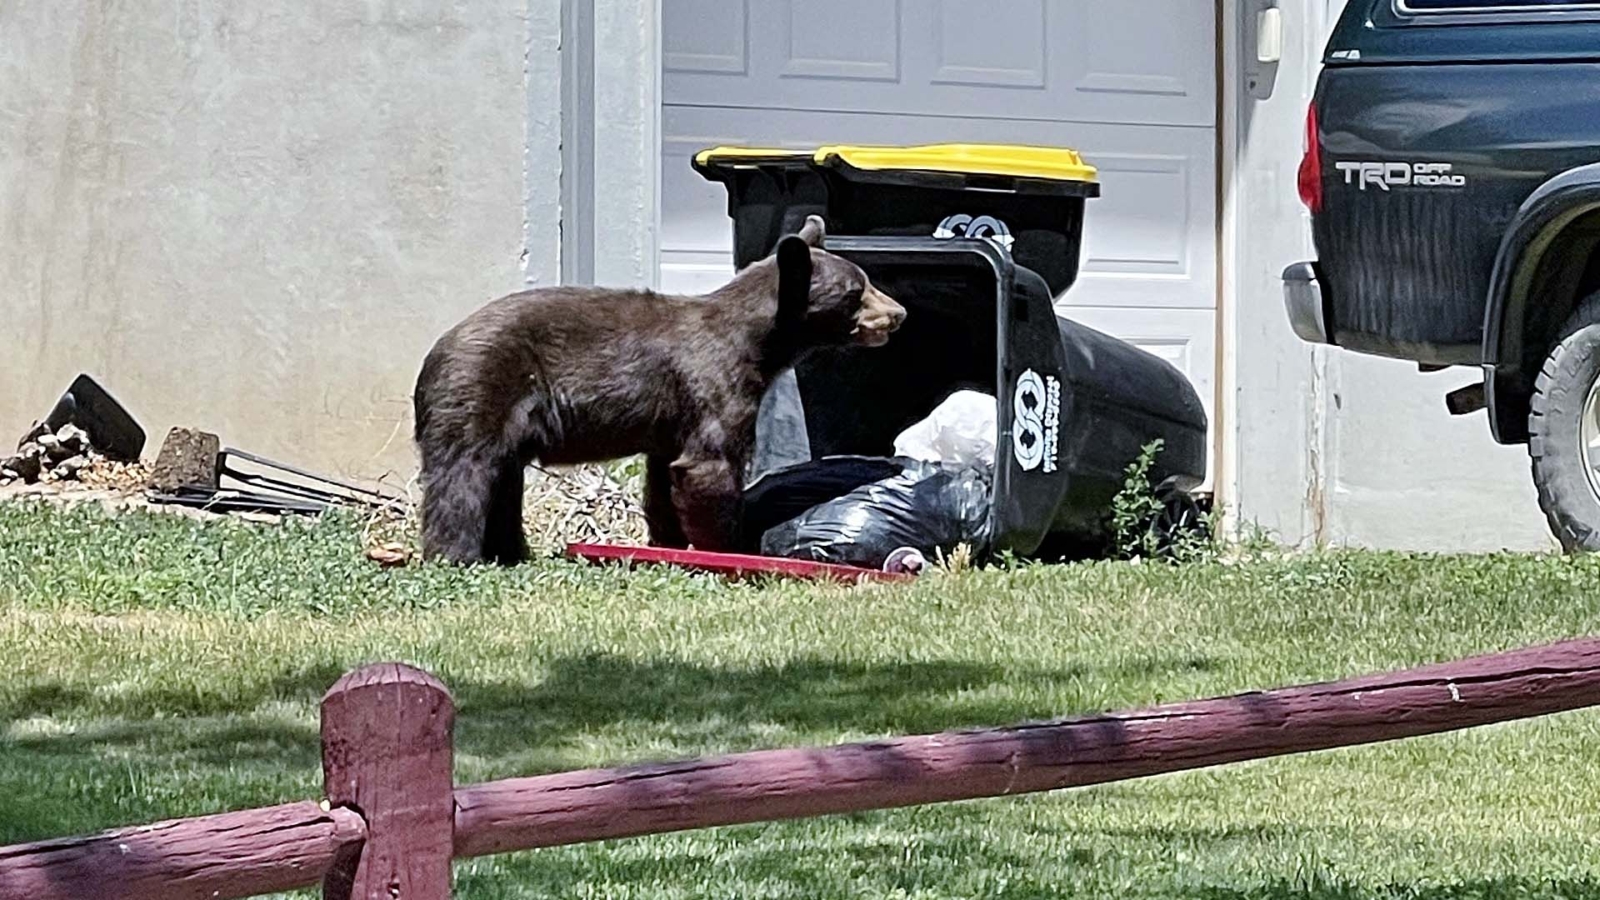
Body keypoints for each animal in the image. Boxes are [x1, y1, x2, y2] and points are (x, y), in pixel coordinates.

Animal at [411, 215, 907, 565]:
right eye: (857, 291)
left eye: (864, 281)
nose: (899, 313)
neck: (757, 344)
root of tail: (433, 355)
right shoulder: (714, 384)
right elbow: (709, 466)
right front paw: (729, 549)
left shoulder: (672, 419)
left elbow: (665, 479)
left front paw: (668, 542)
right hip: (481, 389)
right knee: (464, 476)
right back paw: (457, 555)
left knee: (502, 480)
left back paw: (510, 552)